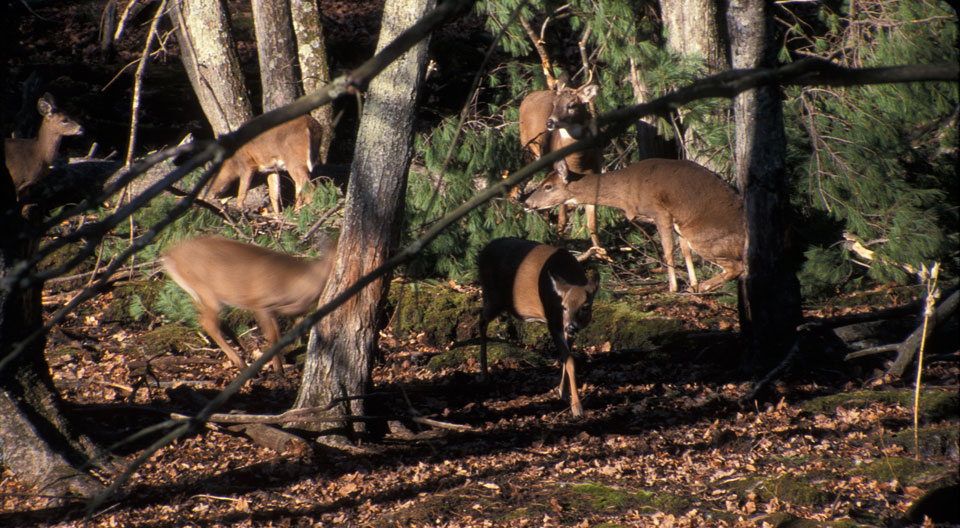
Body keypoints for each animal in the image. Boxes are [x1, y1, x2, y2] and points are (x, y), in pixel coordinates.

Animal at [166, 235, 342, 376]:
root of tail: (170, 256)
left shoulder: (273, 309)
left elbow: (279, 334)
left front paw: (280, 364)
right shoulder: (260, 303)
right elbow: (272, 335)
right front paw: (279, 370)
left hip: (198, 294)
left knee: (210, 319)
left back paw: (243, 348)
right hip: (206, 289)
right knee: (208, 322)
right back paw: (241, 363)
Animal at [476, 236, 596, 416]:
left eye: (585, 307)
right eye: (564, 306)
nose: (571, 327)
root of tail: (482, 252)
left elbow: (565, 358)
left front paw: (562, 391)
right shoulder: (553, 321)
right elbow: (569, 361)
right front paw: (577, 408)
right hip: (493, 297)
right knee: (481, 321)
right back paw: (484, 374)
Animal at [516, 81, 600, 249]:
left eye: (572, 105)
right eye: (554, 104)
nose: (550, 122)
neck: (578, 164)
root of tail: (529, 96)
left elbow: (593, 223)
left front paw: (602, 252)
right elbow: (562, 218)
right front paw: (559, 244)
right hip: (529, 147)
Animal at [524, 159, 744, 294]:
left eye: (548, 186)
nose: (526, 203)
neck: (625, 193)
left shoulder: (660, 211)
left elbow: (668, 250)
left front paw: (673, 288)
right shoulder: (677, 224)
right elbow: (684, 252)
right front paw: (691, 283)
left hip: (704, 237)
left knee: (736, 267)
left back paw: (701, 287)